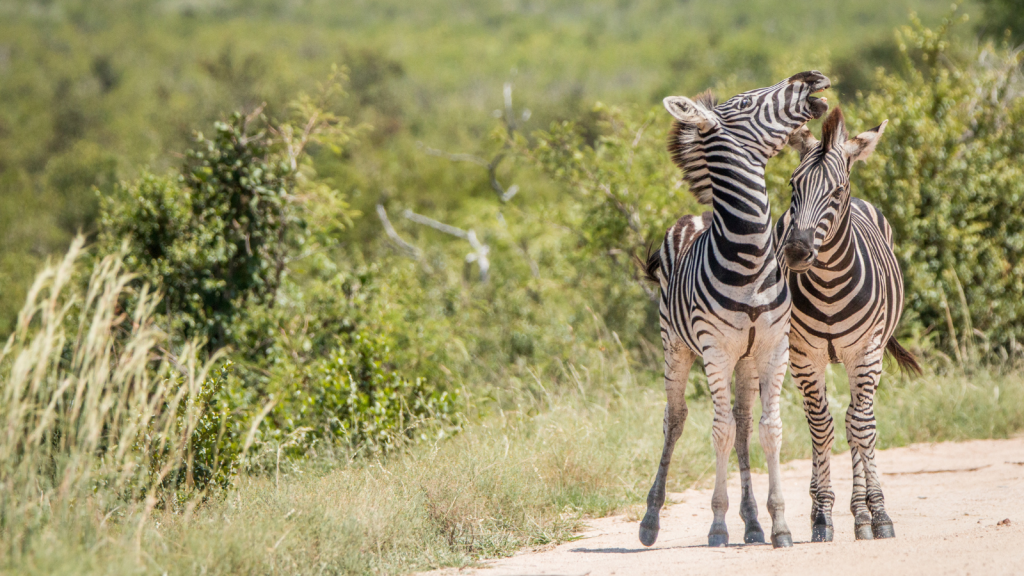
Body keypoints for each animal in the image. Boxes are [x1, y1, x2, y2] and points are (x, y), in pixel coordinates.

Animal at [638, 70, 831, 545]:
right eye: (743, 103)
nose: (812, 77)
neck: (750, 255)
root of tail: (696, 216)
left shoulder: (773, 348)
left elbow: (769, 430)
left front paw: (778, 524)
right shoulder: (716, 351)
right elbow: (719, 431)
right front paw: (718, 524)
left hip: (745, 359)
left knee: (744, 423)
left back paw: (754, 524)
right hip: (677, 347)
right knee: (676, 419)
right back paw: (651, 520)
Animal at [774, 106, 921, 541]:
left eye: (836, 192)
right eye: (792, 186)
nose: (796, 252)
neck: (828, 285)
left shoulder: (866, 352)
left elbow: (862, 425)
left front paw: (879, 514)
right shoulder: (804, 357)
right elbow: (821, 427)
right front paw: (822, 515)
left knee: (857, 419)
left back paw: (862, 514)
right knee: (827, 420)